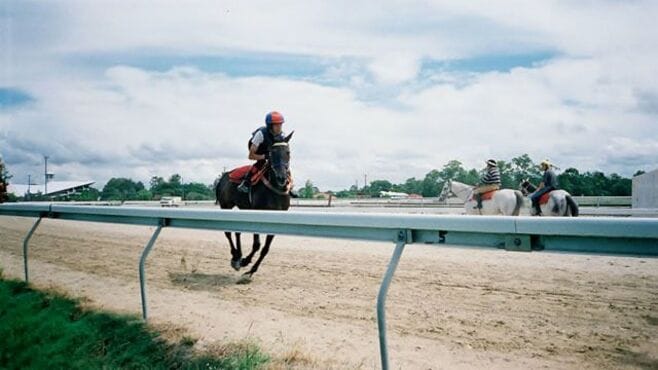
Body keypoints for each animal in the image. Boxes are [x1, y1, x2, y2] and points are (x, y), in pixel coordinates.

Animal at [214, 132, 290, 278]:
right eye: (271, 153)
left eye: (288, 152)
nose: (281, 178)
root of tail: (223, 176)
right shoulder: (257, 214)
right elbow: (257, 245)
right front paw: (245, 262)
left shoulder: (277, 220)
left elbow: (265, 248)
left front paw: (252, 269)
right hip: (225, 205)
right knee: (228, 232)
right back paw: (236, 256)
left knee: (237, 231)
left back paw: (238, 256)